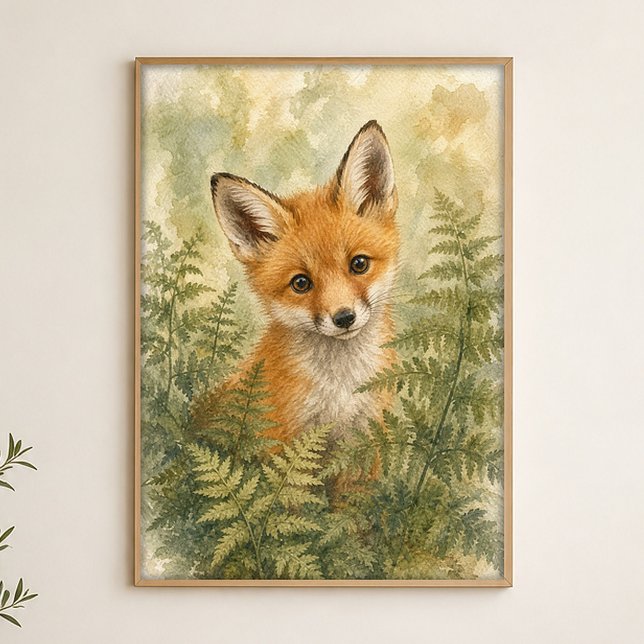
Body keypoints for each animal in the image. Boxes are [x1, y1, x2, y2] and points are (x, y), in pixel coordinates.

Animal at [194, 120, 400, 446]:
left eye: (359, 264)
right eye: (301, 283)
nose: (344, 318)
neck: (339, 391)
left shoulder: (370, 438)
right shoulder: (279, 439)